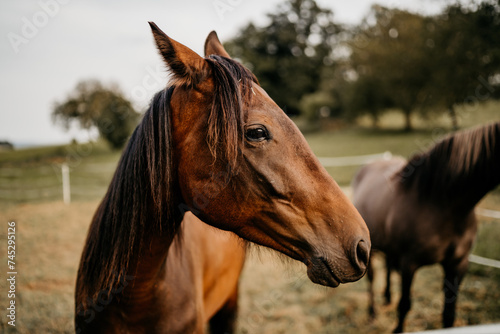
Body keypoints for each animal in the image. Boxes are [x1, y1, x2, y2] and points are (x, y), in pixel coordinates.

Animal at [352, 121, 500, 332]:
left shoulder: (458, 264)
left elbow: (449, 313)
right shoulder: (409, 264)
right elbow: (405, 304)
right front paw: (397, 328)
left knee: (388, 265)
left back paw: (387, 297)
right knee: (372, 278)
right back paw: (372, 312)